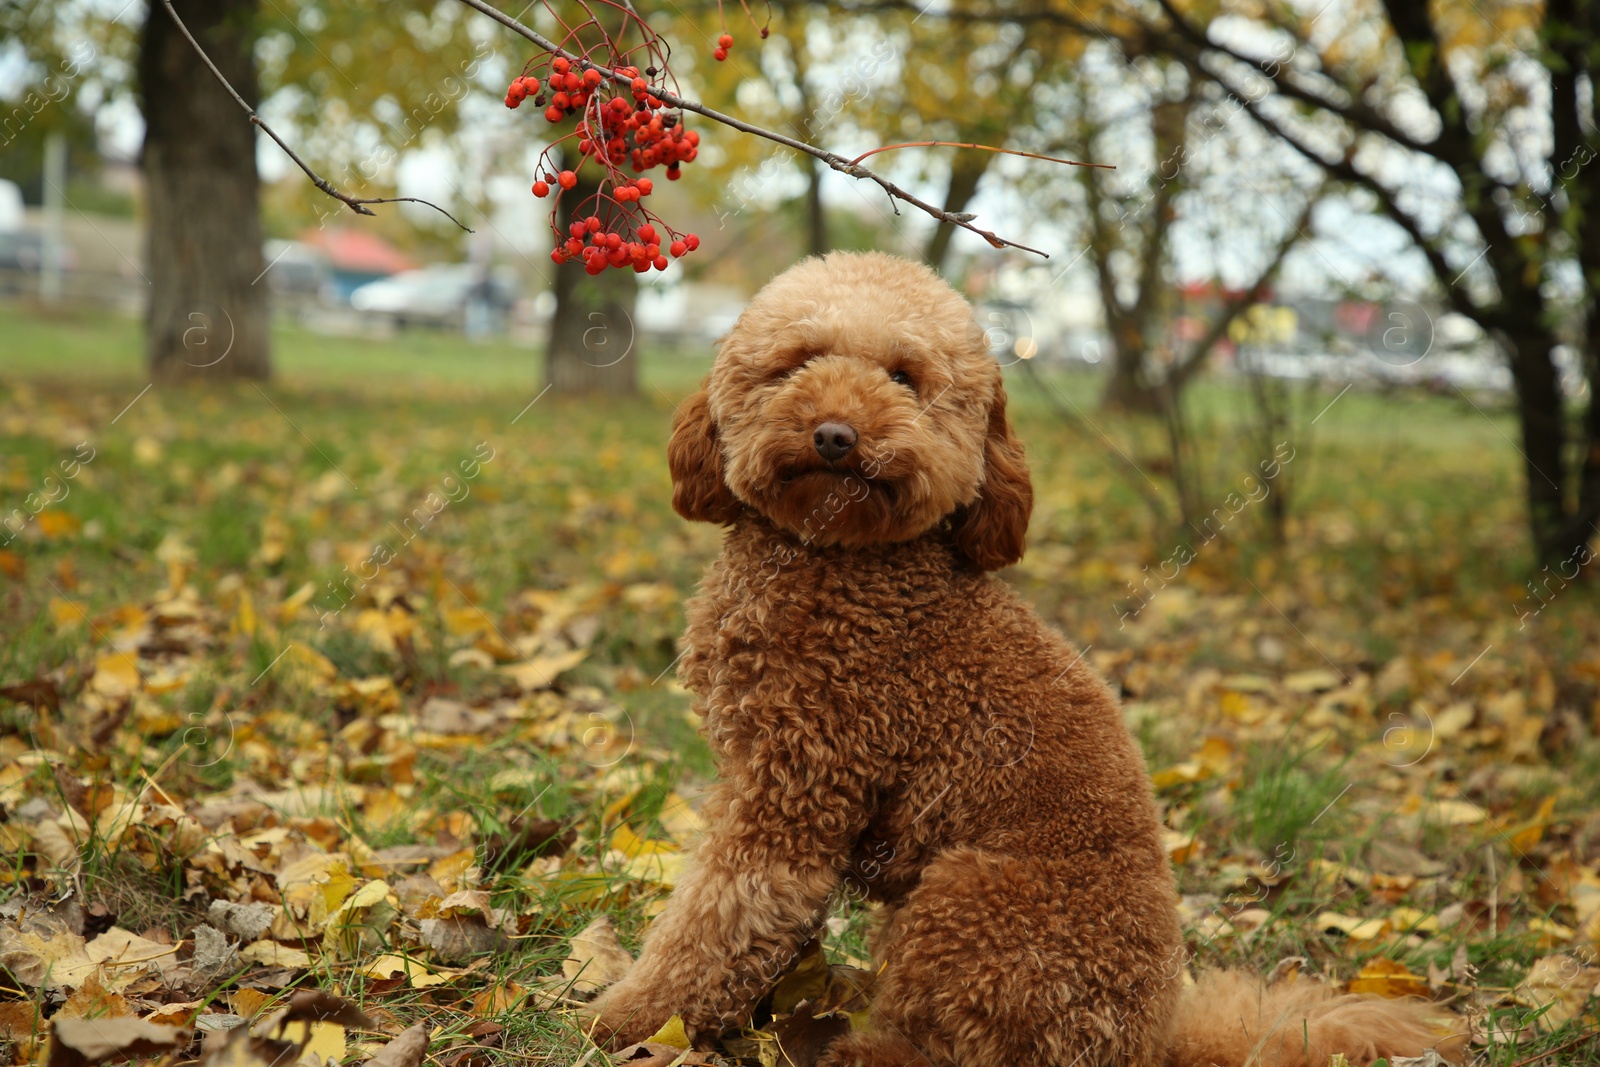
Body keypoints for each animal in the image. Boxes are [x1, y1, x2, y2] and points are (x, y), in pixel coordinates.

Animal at [592, 252, 1465, 1067]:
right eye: (798, 361)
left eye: (905, 377)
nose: (836, 434)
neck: (837, 560)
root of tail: (1150, 1044)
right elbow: (756, 924)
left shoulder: (793, 790)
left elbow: (717, 916)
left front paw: (630, 1019)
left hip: (967, 896)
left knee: (954, 1043)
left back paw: (856, 1047)